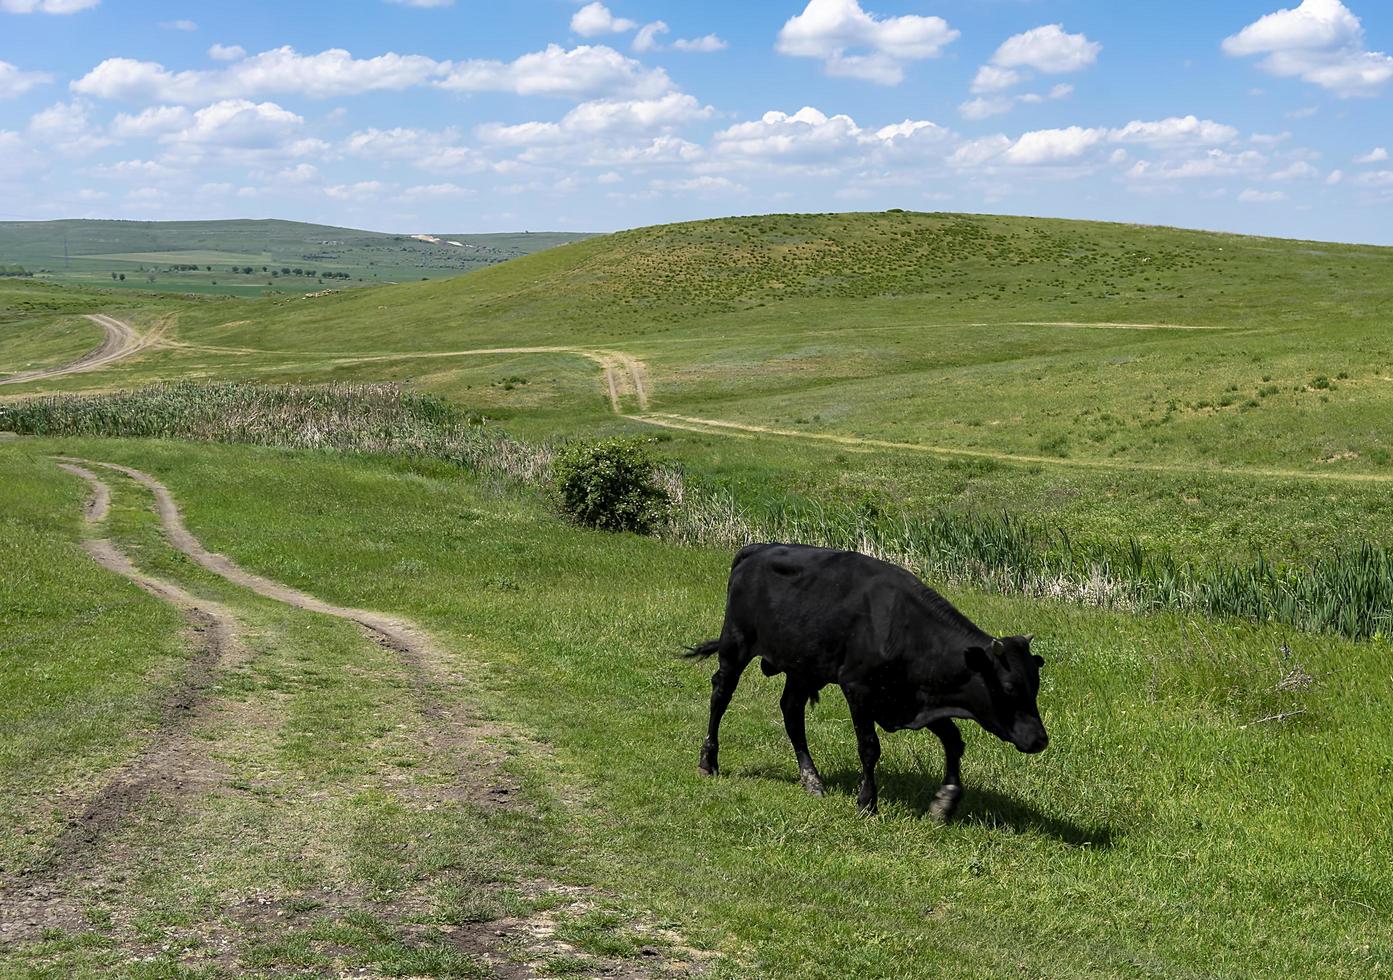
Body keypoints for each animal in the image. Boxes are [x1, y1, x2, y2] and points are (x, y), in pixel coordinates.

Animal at [685, 542, 1047, 818]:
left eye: (1036, 684)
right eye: (1009, 687)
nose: (1040, 740)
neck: (907, 630)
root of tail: (756, 548)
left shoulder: (912, 699)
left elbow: (954, 741)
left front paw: (946, 800)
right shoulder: (858, 690)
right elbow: (869, 747)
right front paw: (867, 802)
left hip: (802, 668)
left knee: (792, 713)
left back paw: (811, 779)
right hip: (735, 645)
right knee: (721, 695)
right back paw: (708, 760)